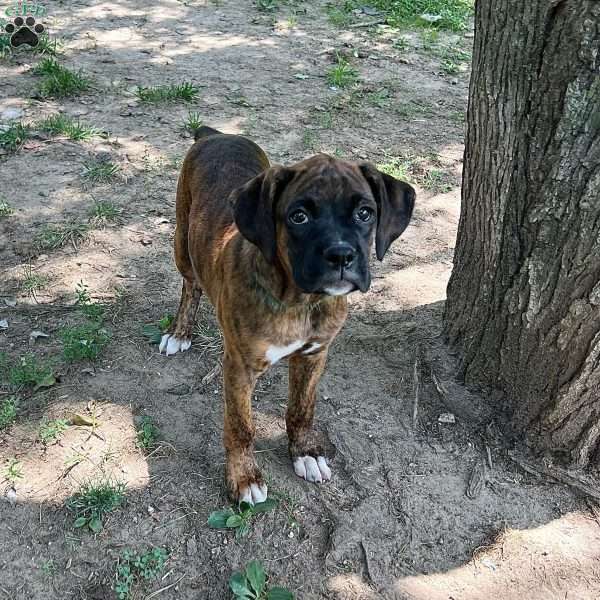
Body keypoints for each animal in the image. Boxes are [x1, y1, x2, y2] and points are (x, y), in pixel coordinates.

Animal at [159, 125, 414, 502]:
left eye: (365, 213)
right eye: (299, 216)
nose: (341, 255)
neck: (300, 302)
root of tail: (216, 134)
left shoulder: (314, 355)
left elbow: (301, 408)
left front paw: (305, 452)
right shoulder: (239, 367)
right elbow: (241, 426)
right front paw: (244, 477)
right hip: (181, 239)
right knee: (190, 285)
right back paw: (179, 332)